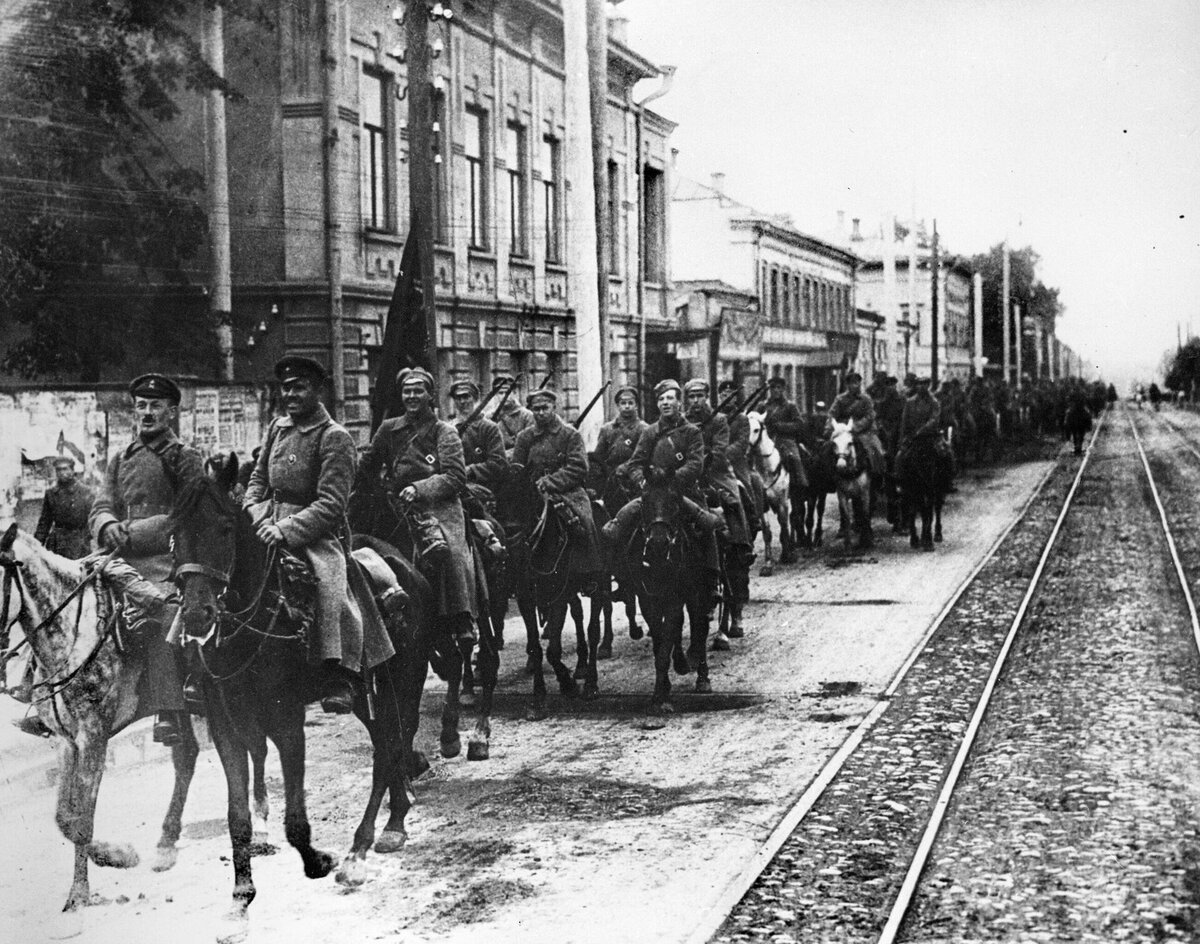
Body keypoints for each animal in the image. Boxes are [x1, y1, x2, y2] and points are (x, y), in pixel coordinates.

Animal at [168, 472, 432, 921]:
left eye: (225, 529)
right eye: (174, 533)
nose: (197, 616)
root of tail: (407, 567)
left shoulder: (287, 721)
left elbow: (294, 815)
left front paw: (317, 861)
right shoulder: (225, 728)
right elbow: (237, 815)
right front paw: (241, 894)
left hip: (406, 680)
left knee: (390, 749)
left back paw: (359, 851)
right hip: (367, 698)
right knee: (388, 742)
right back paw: (394, 823)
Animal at [744, 412, 792, 575]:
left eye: (756, 429)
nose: (746, 451)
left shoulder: (783, 502)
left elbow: (784, 525)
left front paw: (787, 555)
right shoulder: (761, 506)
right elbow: (767, 532)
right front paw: (768, 564)